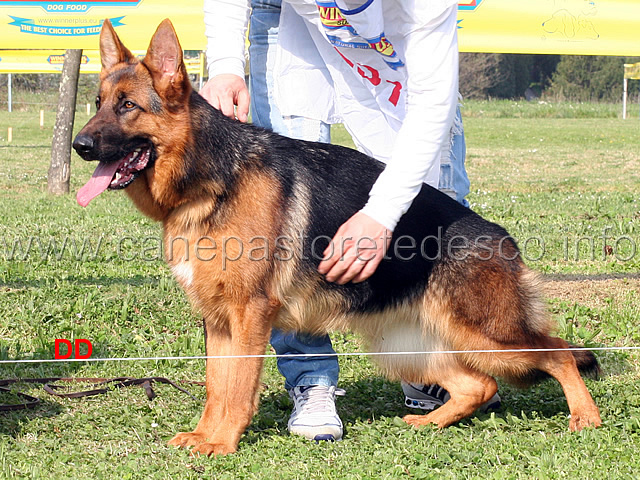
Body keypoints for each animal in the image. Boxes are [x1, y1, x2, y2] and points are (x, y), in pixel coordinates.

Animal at [72, 18, 604, 454]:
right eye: (97, 104)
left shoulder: (248, 317)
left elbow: (237, 388)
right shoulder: (218, 321)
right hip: (405, 345)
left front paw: (222, 443)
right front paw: (205, 435)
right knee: (480, 385)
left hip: (488, 337)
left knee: (559, 352)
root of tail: (499, 237)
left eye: (127, 106)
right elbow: (216, 386)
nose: (80, 145)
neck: (212, 178)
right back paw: (430, 423)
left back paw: (586, 417)